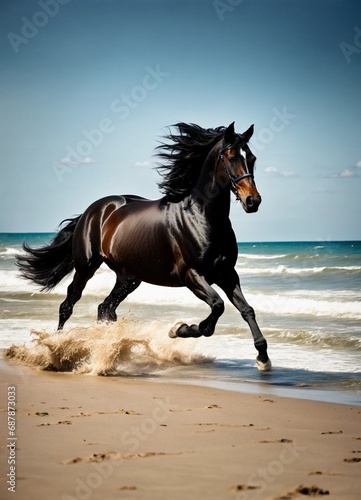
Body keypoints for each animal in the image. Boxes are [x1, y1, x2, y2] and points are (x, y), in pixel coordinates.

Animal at [16, 121, 270, 372]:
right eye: (231, 157)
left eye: (252, 158)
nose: (253, 201)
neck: (203, 218)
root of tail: (93, 210)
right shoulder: (191, 275)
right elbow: (217, 307)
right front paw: (178, 329)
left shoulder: (227, 273)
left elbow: (246, 309)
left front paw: (263, 356)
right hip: (86, 267)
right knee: (68, 304)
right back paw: (56, 349)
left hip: (128, 278)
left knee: (105, 308)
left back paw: (104, 350)